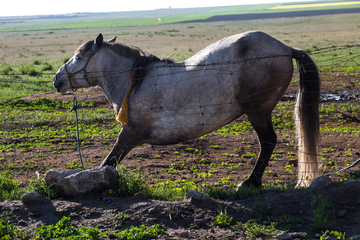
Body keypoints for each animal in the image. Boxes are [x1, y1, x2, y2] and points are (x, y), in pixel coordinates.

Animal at [52, 31, 320, 188]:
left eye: (78, 57)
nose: (56, 79)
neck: (136, 81)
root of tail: (286, 48)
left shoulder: (130, 134)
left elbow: (109, 162)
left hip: (258, 111)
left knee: (268, 141)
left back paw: (250, 182)